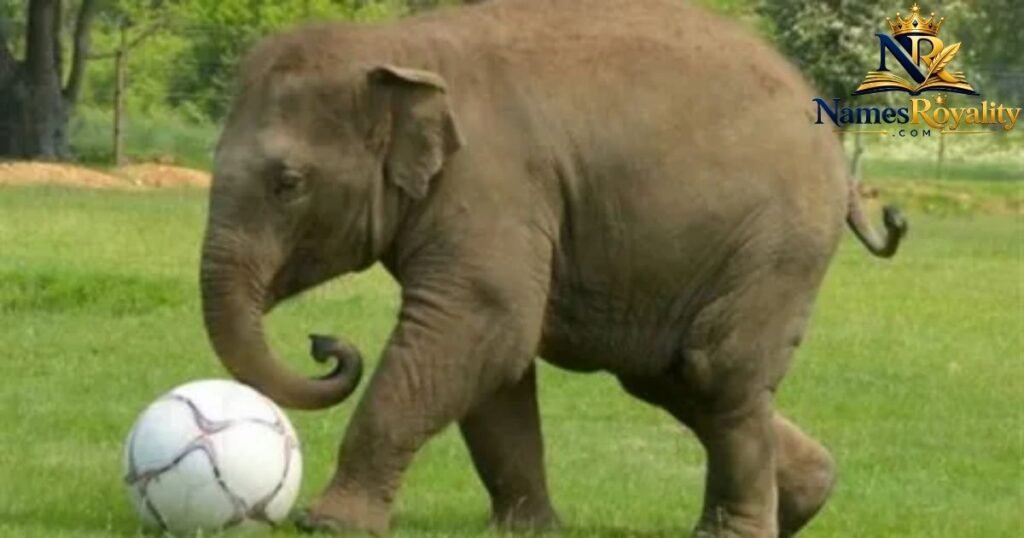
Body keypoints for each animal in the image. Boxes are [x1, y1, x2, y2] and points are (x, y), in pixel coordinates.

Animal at [199, 0, 906, 536]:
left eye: (288, 184)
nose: (325, 346)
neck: (398, 47)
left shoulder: (493, 184)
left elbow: (478, 326)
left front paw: (327, 524)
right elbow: (495, 365)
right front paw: (526, 529)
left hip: (778, 245)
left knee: (716, 369)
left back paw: (733, 532)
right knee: (670, 376)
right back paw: (806, 499)